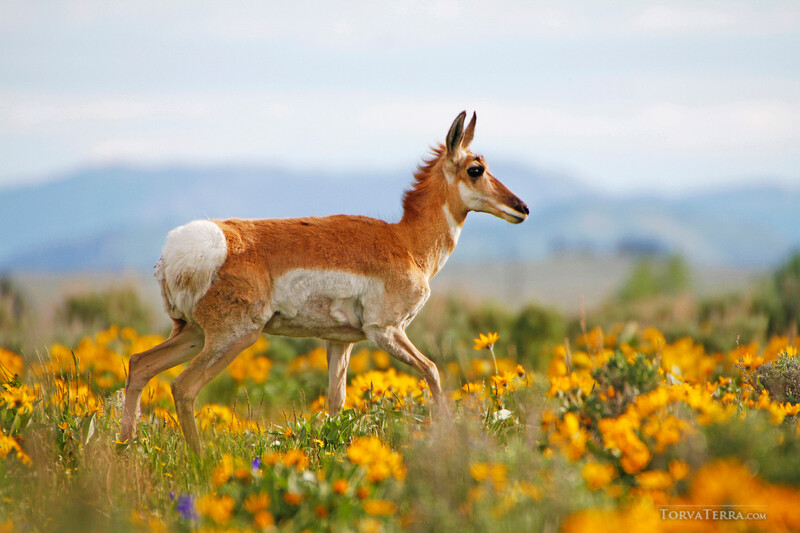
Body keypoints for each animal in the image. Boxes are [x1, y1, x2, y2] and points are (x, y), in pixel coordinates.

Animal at [120, 111, 529, 454]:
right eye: (476, 169)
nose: (522, 208)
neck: (406, 241)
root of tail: (187, 247)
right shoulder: (386, 331)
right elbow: (432, 370)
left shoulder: (339, 342)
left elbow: (337, 402)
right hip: (233, 337)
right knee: (183, 387)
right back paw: (201, 461)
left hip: (193, 333)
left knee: (139, 364)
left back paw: (125, 450)